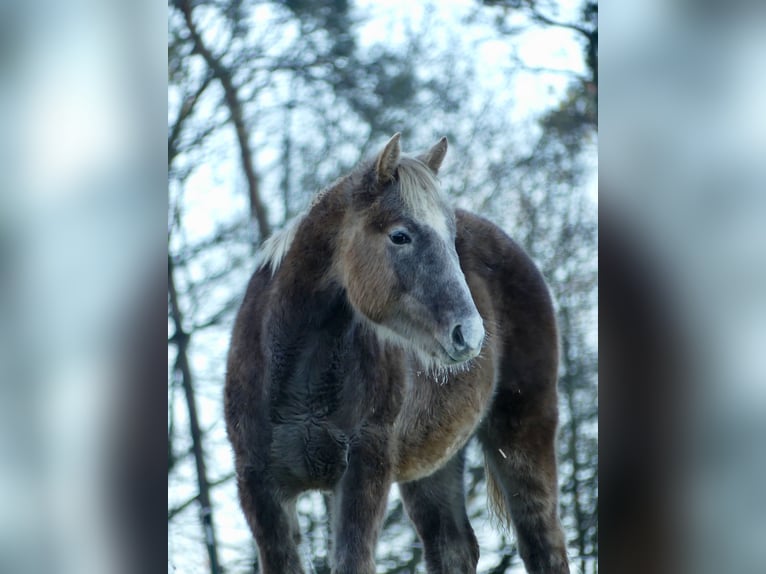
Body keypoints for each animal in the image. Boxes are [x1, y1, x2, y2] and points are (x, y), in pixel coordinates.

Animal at [222, 133, 568, 572]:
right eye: (400, 236)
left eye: (451, 240)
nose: (470, 335)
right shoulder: (259, 487)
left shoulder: (363, 472)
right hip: (433, 462)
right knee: (453, 548)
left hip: (523, 435)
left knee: (543, 543)